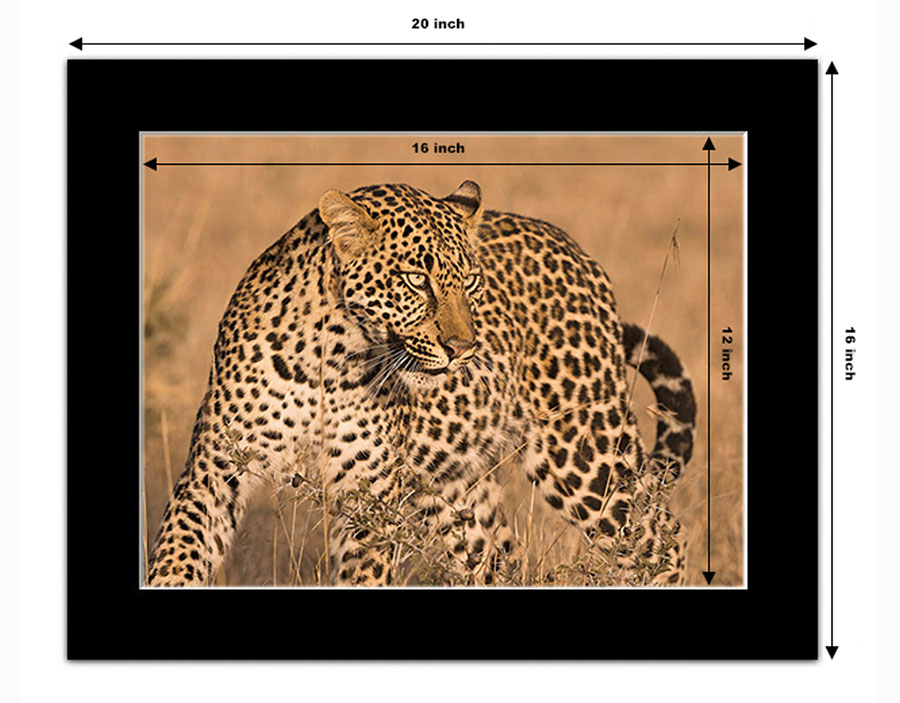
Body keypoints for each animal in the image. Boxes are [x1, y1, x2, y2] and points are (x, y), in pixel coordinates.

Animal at [147, 180, 696, 587]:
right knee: (497, 561)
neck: (329, 355)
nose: (464, 348)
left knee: (659, 538)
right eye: (416, 279)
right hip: (453, 492)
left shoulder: (368, 494)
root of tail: (577, 250)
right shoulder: (214, 468)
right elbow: (177, 553)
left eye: (470, 281)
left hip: (583, 450)